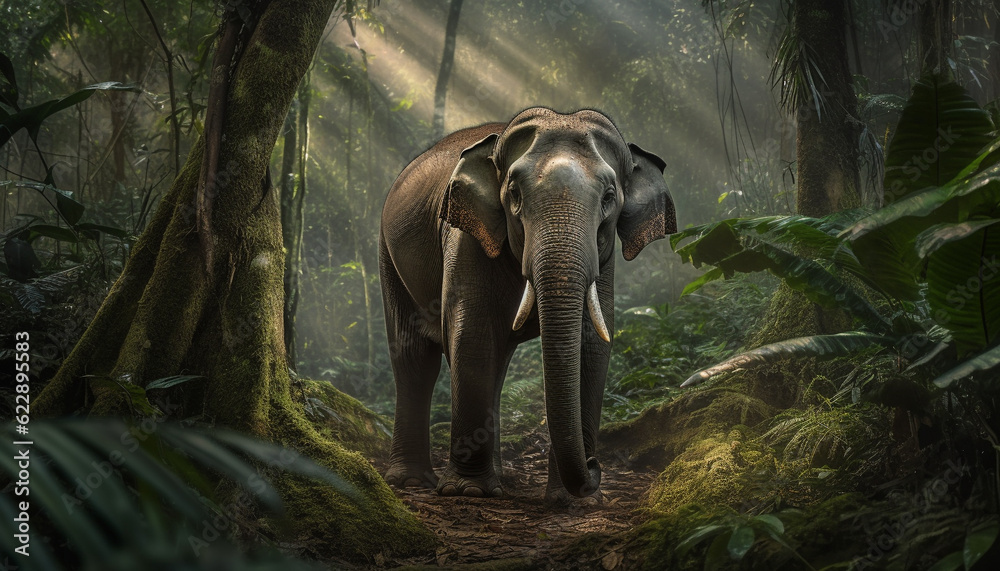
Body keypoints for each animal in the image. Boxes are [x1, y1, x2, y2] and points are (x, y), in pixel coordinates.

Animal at [378, 107, 676, 500]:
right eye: (515, 195)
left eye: (609, 197)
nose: (595, 465)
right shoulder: (466, 235)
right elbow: (471, 333)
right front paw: (468, 492)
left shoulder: (605, 256)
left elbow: (592, 346)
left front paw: (572, 502)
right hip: (387, 254)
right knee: (415, 358)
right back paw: (412, 481)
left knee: (497, 364)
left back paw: (499, 480)